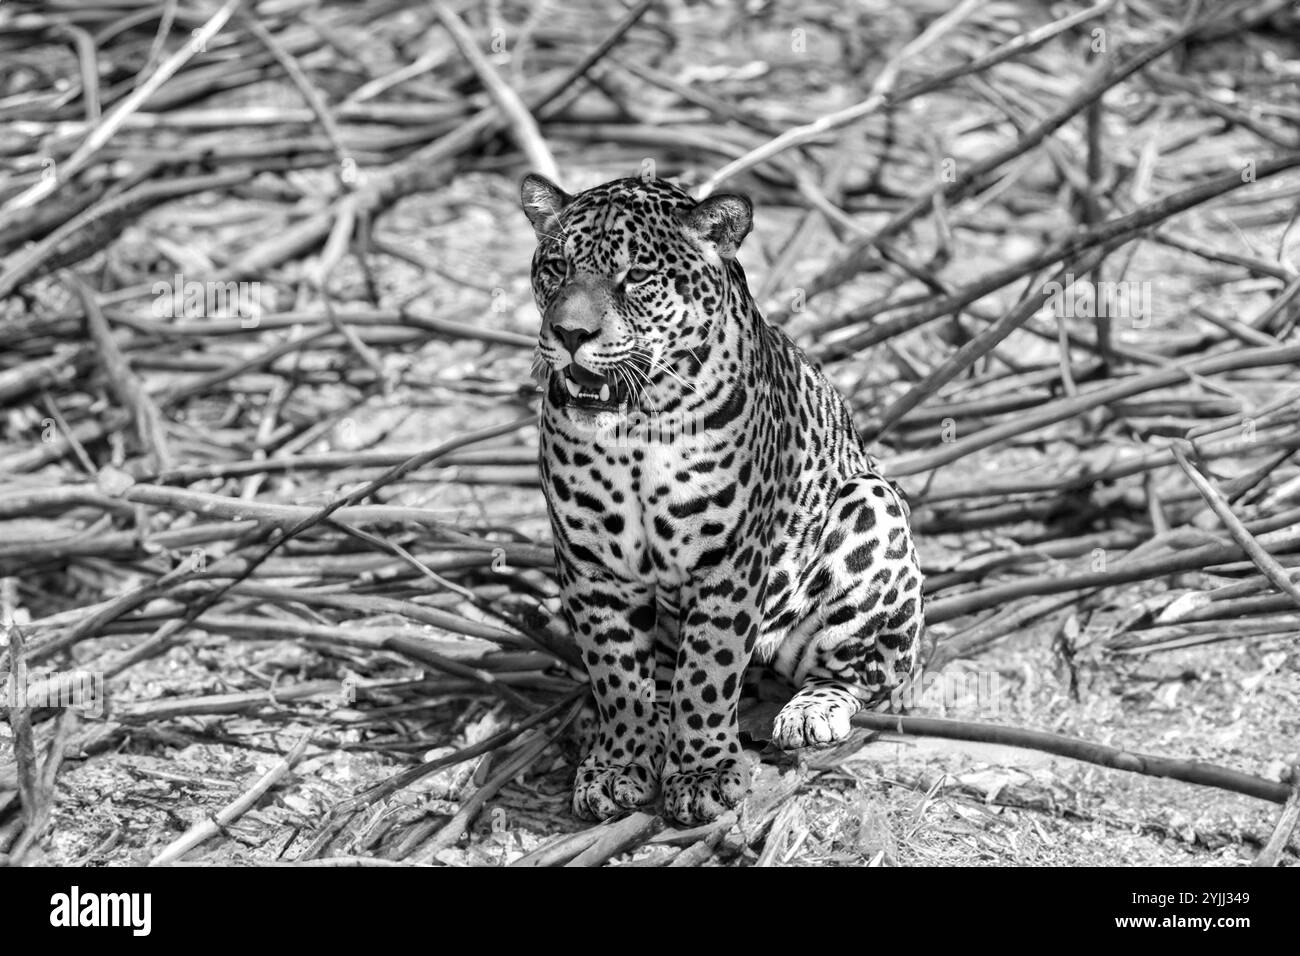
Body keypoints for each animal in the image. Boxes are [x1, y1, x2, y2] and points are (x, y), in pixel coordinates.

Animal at [520, 173, 924, 826]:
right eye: (556, 268)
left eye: (636, 277)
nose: (570, 334)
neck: (636, 427)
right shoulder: (592, 566)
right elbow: (615, 674)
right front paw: (617, 764)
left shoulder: (729, 561)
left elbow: (708, 670)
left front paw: (703, 772)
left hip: (870, 505)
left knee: (874, 673)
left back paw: (811, 711)